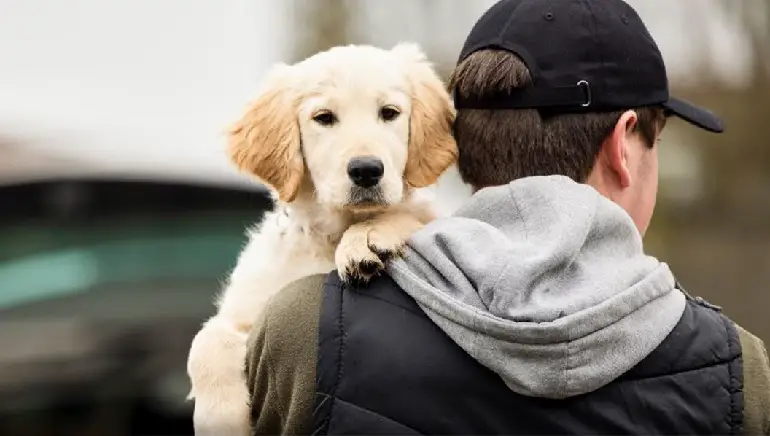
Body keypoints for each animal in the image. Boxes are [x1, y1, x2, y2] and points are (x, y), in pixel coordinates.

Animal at [184, 41, 456, 436]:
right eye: (324, 118)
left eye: (389, 113)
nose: (366, 170)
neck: (330, 234)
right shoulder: (248, 310)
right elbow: (205, 340)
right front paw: (220, 418)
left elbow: (411, 215)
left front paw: (367, 237)